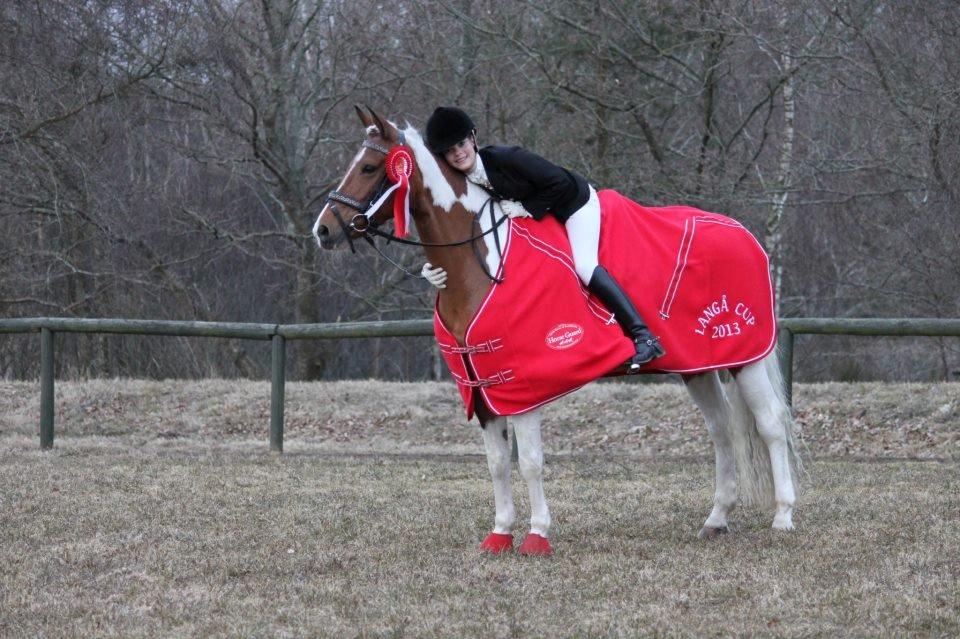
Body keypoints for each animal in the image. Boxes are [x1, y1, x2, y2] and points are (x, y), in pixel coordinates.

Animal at [312, 106, 801, 556]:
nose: (323, 231)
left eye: (369, 167)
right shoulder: (485, 391)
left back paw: (783, 517)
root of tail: (743, 233)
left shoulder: (523, 388)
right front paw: (499, 534)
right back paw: (716, 519)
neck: (480, 263)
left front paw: (537, 535)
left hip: (745, 358)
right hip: (698, 366)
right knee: (722, 431)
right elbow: (496, 464)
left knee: (771, 426)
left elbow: (529, 462)